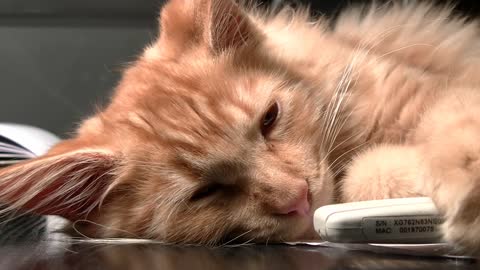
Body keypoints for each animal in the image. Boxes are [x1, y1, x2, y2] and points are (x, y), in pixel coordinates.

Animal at [0, 0, 480, 253]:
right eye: (205, 192)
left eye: (269, 119)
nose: (299, 198)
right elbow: (366, 176)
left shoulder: (434, 90)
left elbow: (452, 121)